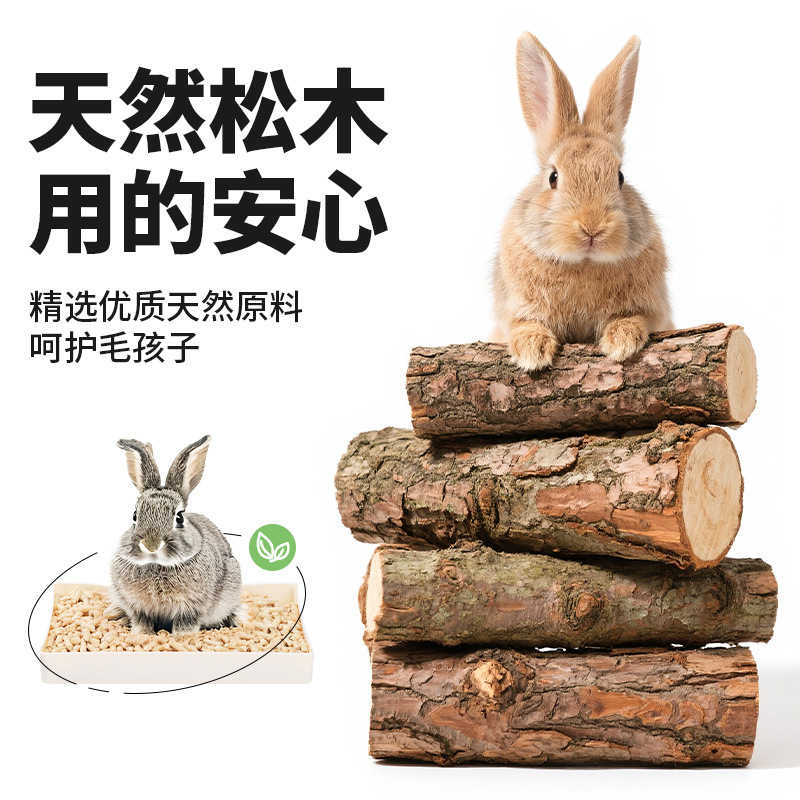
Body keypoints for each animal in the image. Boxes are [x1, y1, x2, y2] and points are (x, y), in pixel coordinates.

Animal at [108, 436, 247, 636]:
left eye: (179, 517)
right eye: (134, 516)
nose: (151, 545)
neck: (157, 565)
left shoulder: (191, 607)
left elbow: (185, 623)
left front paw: (183, 636)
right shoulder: (136, 605)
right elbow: (141, 620)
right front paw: (141, 634)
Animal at [493, 34, 673, 371]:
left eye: (620, 176)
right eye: (553, 177)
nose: (592, 228)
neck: (584, 263)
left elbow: (636, 317)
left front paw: (622, 341)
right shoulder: (515, 307)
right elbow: (523, 323)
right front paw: (532, 350)